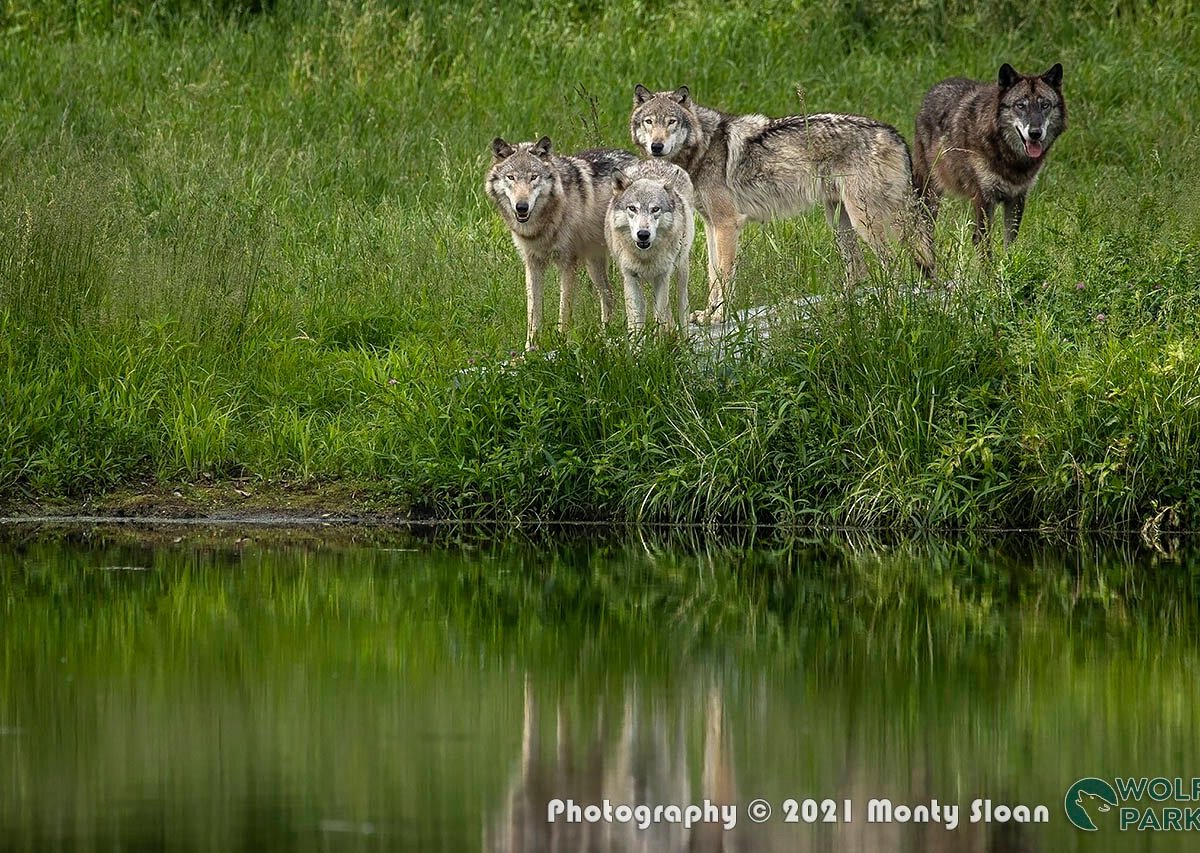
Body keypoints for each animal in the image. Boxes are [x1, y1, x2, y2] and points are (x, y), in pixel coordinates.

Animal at [484, 134, 643, 347]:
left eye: (534, 177)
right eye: (511, 177)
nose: (522, 207)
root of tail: (636, 158)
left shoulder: (567, 263)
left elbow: (564, 309)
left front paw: (561, 342)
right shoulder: (532, 264)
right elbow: (533, 311)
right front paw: (531, 347)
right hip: (594, 265)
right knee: (609, 294)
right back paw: (604, 335)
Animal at [604, 158, 700, 331]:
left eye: (655, 209)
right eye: (632, 208)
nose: (643, 234)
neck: (645, 257)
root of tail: (658, 160)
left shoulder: (662, 276)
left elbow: (659, 318)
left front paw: (659, 338)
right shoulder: (630, 277)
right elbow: (635, 322)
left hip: (681, 270)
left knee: (682, 306)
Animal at [633, 83, 931, 323]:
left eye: (671, 121)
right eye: (649, 121)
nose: (656, 147)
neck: (702, 147)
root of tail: (893, 132)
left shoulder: (727, 224)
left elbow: (724, 275)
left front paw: (718, 317)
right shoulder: (711, 225)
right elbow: (712, 274)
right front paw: (707, 315)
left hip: (865, 221)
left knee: (893, 263)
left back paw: (888, 310)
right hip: (839, 221)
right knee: (860, 270)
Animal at [912, 62, 1065, 251]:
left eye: (1045, 105)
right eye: (1020, 105)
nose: (1035, 133)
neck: (1010, 159)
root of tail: (935, 88)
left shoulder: (1016, 198)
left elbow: (1010, 243)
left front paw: (1009, 260)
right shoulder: (984, 199)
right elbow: (983, 244)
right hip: (930, 194)